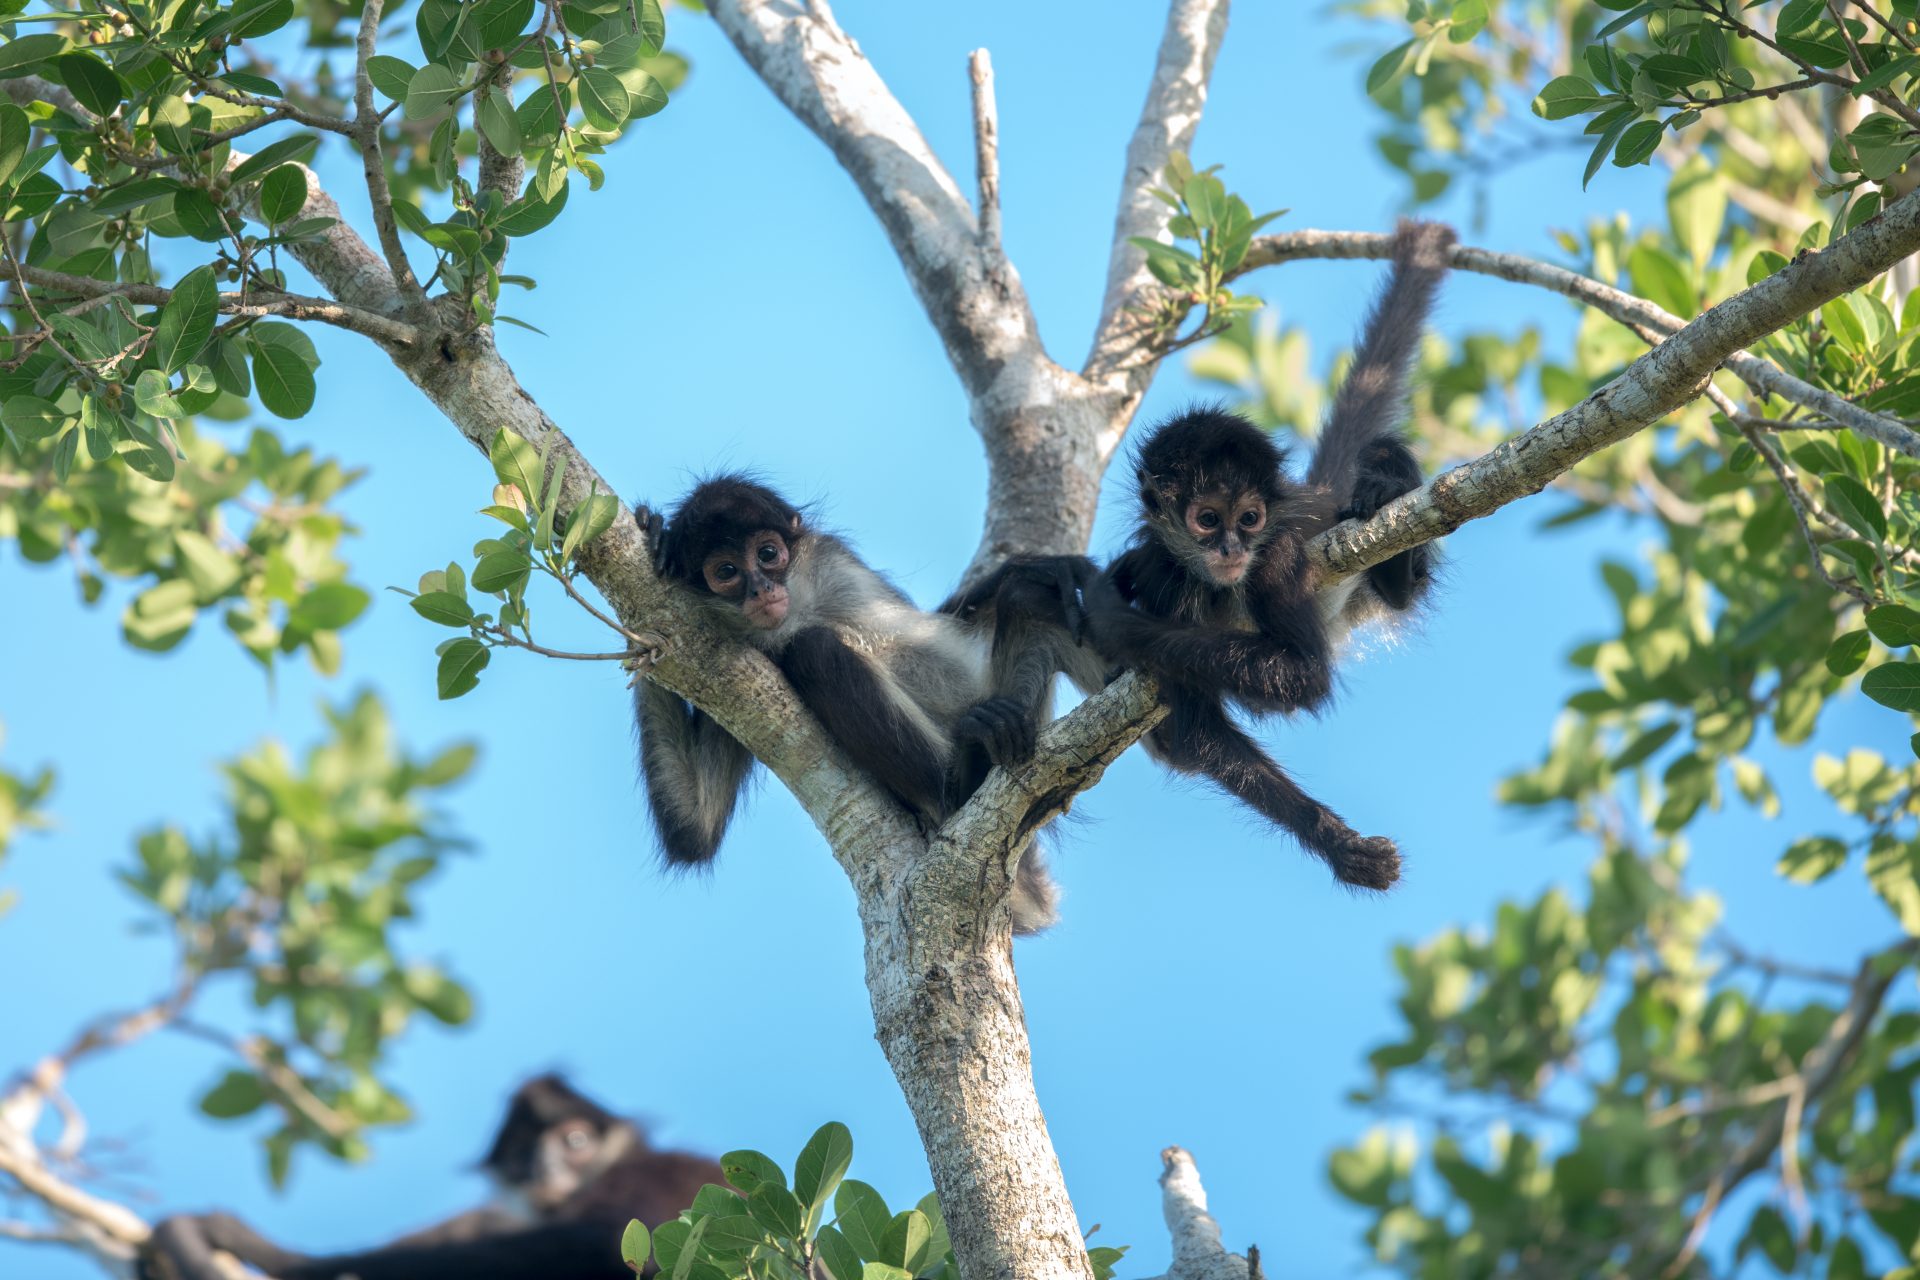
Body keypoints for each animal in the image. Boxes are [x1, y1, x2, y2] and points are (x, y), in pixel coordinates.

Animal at [135, 1074, 721, 1280]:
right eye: (520, 1154)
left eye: (575, 1142)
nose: (543, 1168)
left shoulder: (650, 1173)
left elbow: (605, 1247)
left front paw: (279, 1257)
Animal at [633, 475, 1098, 936]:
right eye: (726, 572)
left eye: (767, 554)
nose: (760, 589)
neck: (798, 611)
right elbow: (695, 830)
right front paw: (651, 550)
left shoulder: (831, 557)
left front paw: (1031, 566)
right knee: (814, 650)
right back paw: (963, 784)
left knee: (1034, 599)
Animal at [1082, 217, 1451, 890]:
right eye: (1207, 520)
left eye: (1249, 519)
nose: (1232, 545)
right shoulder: (1164, 571)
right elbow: (1195, 730)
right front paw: (1336, 841)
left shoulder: (1275, 556)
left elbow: (1303, 675)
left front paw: (1116, 623)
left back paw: (1388, 505)